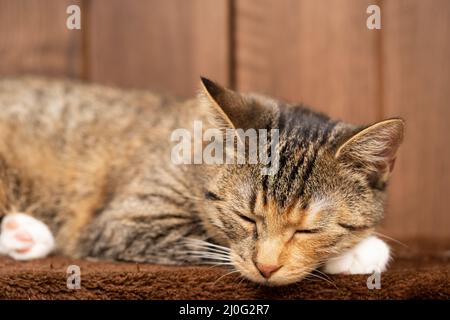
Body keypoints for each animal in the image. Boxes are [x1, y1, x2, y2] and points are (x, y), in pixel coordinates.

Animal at [0, 75, 404, 284]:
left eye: (308, 230)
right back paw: (24, 234)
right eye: (245, 217)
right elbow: (210, 245)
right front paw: (363, 251)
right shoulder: (127, 221)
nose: (266, 268)